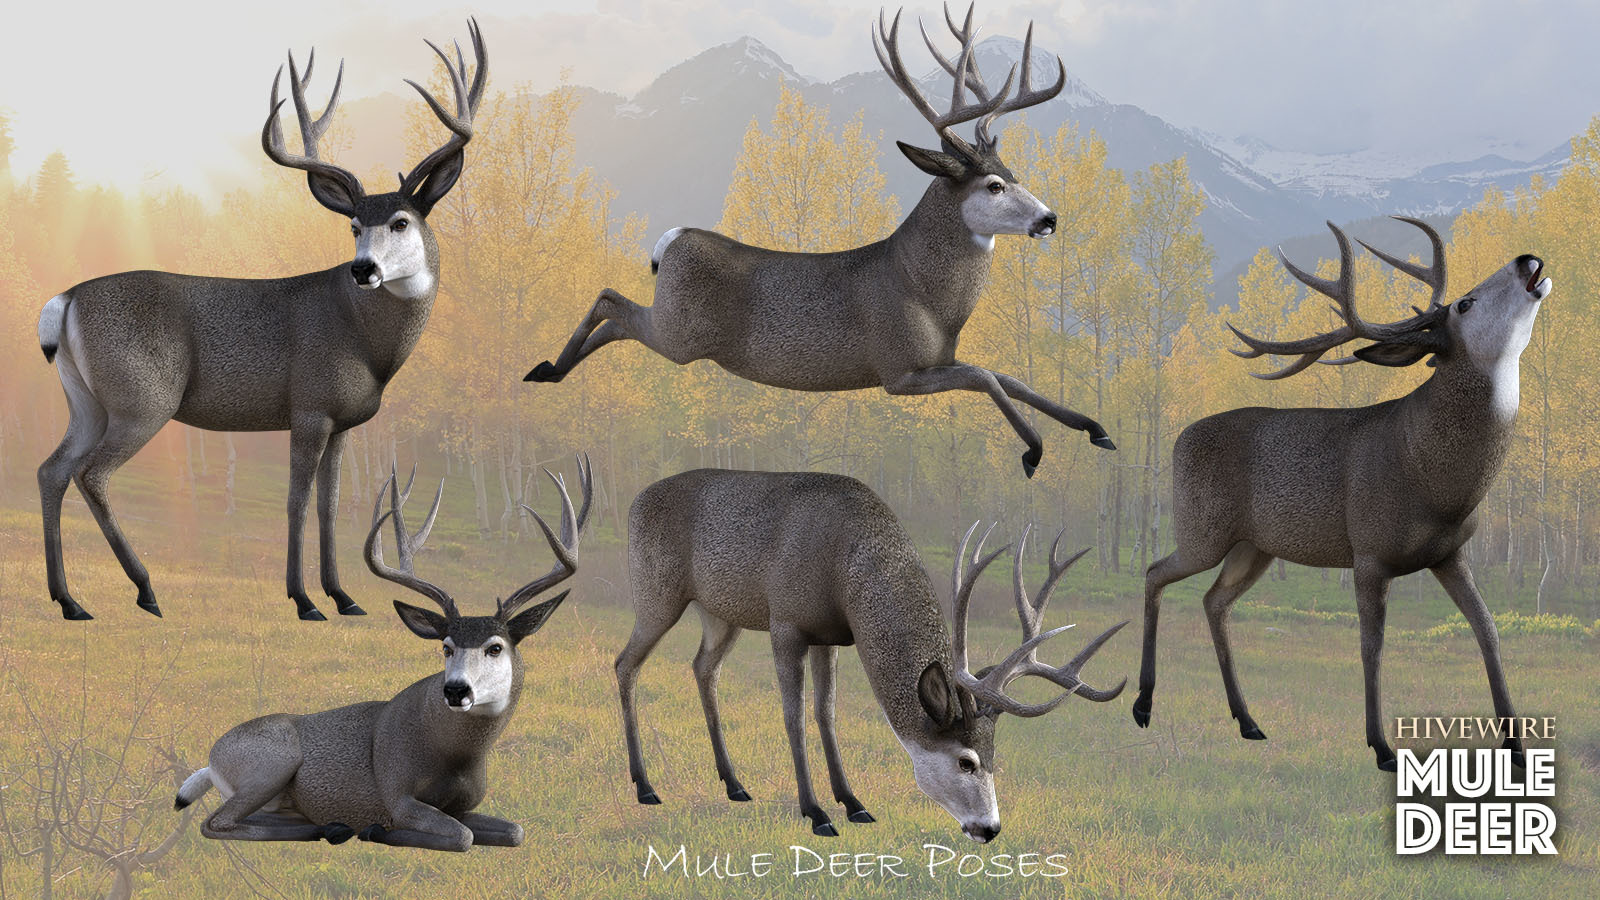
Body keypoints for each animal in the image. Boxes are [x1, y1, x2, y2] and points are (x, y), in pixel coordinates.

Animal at [35, 21, 486, 621]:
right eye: (352, 227)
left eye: (401, 221)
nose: (363, 269)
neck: (368, 345)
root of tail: (64, 300)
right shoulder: (309, 405)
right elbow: (296, 501)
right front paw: (304, 600)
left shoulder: (343, 421)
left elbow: (329, 504)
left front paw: (344, 597)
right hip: (141, 398)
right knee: (92, 474)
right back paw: (145, 589)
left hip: (85, 399)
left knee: (52, 469)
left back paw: (70, 600)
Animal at [174, 456, 592, 851]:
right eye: (445, 647)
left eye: (495, 647)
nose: (456, 690)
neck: (455, 755)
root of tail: (211, 760)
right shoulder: (397, 792)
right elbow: (461, 836)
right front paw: (378, 830)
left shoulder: (464, 805)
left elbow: (514, 830)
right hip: (274, 761)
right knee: (215, 822)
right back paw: (334, 828)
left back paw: (330, 826)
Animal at [524, 3, 1115, 476]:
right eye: (993, 185)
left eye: (1014, 173)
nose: (1049, 219)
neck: (925, 296)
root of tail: (671, 240)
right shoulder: (897, 369)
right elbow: (989, 376)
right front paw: (1035, 450)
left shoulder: (935, 361)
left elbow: (1008, 375)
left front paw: (1095, 428)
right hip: (681, 334)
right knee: (610, 301)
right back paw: (547, 369)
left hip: (674, 330)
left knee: (617, 318)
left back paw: (550, 370)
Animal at [616, 468, 1126, 841]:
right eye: (966, 760)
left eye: (995, 755)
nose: (990, 829)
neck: (846, 563)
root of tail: (634, 501)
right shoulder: (786, 622)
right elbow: (794, 716)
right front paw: (816, 813)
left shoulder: (828, 635)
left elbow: (826, 712)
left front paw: (853, 803)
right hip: (657, 592)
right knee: (625, 664)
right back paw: (645, 787)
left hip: (720, 614)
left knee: (702, 667)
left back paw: (735, 785)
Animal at [1130, 217, 1551, 772]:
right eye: (1465, 303)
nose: (1528, 258)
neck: (1438, 485)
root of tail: (1179, 438)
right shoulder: (1369, 551)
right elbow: (1371, 646)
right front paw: (1381, 746)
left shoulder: (1451, 553)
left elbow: (1488, 629)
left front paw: (1517, 747)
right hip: (1202, 527)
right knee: (1155, 572)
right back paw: (1143, 704)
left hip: (1254, 546)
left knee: (1213, 600)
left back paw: (1248, 721)